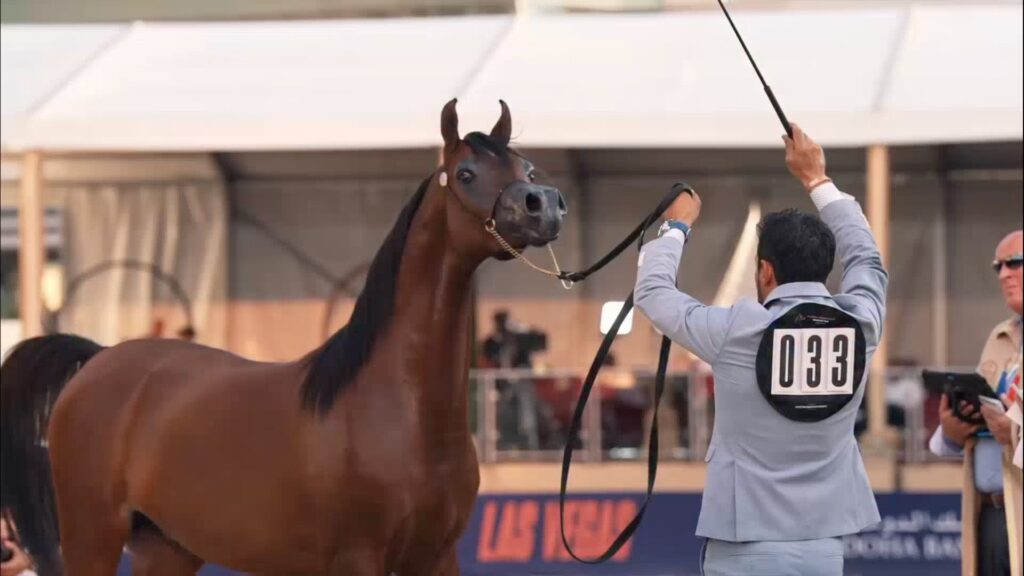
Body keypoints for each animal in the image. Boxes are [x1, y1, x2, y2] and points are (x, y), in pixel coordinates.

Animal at [0, 99, 567, 576]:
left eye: (527, 169)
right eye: (466, 174)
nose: (542, 204)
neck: (402, 410)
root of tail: (98, 360)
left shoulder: (437, 558)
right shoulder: (357, 559)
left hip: (167, 548)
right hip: (92, 536)